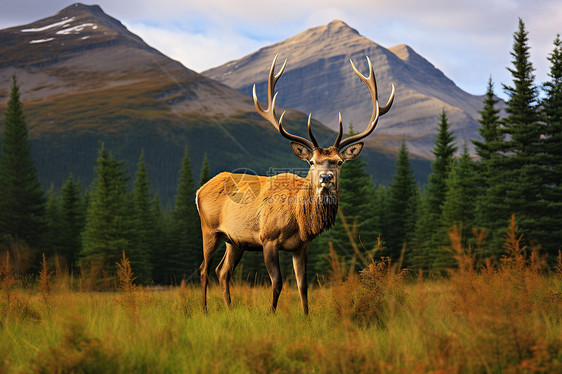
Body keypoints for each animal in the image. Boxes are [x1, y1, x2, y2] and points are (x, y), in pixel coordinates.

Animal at [197, 54, 394, 314]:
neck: (299, 218)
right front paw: (271, 313)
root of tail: (200, 189)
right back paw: (204, 309)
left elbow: (303, 285)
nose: (326, 177)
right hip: (209, 229)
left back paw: (229, 308)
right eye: (312, 161)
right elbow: (278, 282)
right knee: (204, 269)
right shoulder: (268, 238)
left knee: (222, 271)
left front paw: (306, 316)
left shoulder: (302, 246)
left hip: (235, 240)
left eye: (339, 162)